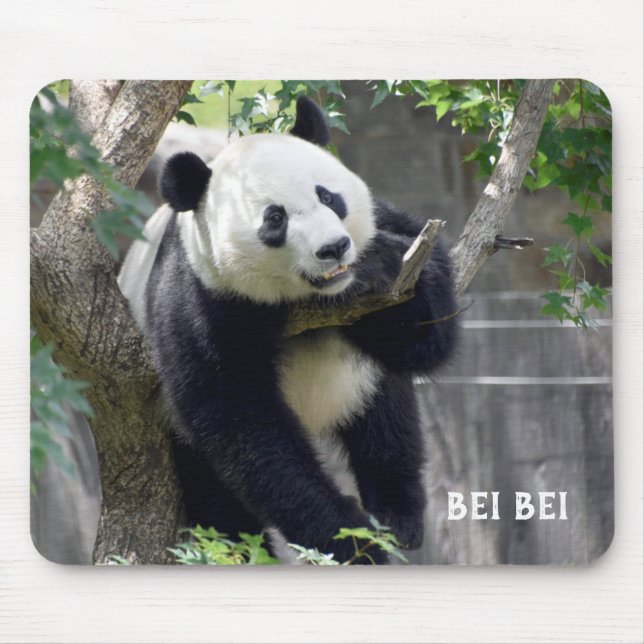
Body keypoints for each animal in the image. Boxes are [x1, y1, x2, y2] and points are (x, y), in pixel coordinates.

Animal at [118, 96, 458, 564]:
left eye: (328, 196)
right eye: (275, 219)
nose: (334, 248)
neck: (305, 299)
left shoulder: (390, 228)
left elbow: (425, 339)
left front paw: (381, 265)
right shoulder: (203, 300)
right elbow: (243, 423)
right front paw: (351, 540)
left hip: (362, 388)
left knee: (388, 423)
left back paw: (397, 514)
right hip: (180, 438)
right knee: (218, 504)